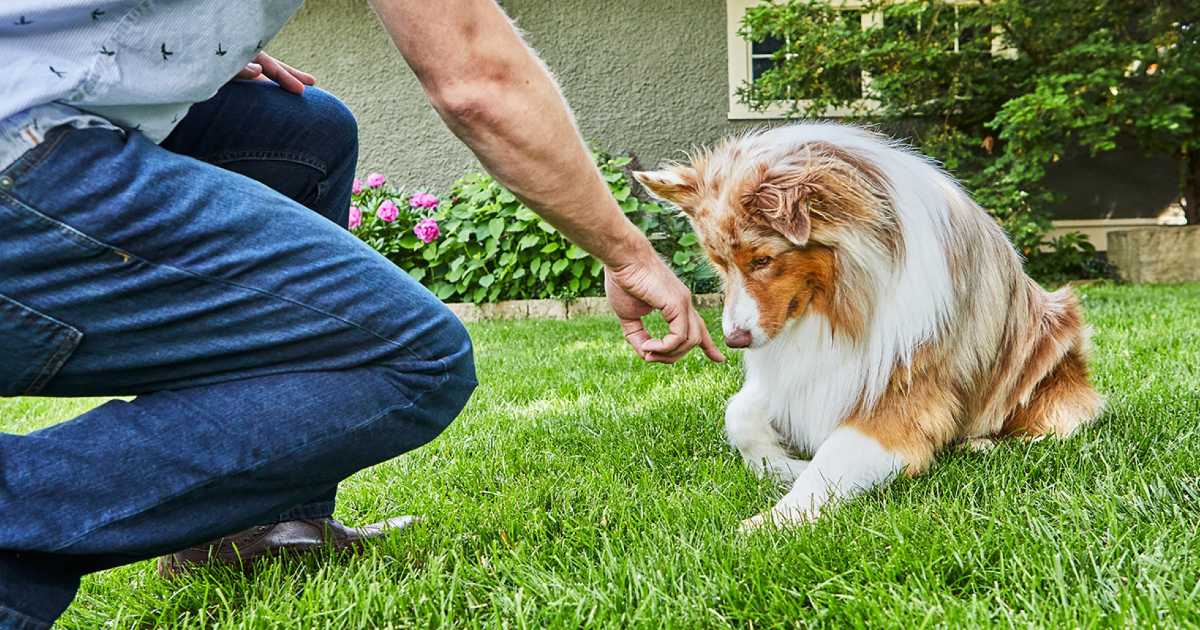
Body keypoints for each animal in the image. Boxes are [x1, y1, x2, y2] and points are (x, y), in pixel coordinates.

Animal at [638, 124, 1104, 530]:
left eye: (762, 260)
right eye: (719, 264)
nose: (735, 340)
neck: (838, 306)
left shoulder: (900, 399)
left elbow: (831, 462)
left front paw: (770, 522)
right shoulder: (803, 372)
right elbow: (739, 416)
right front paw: (786, 467)